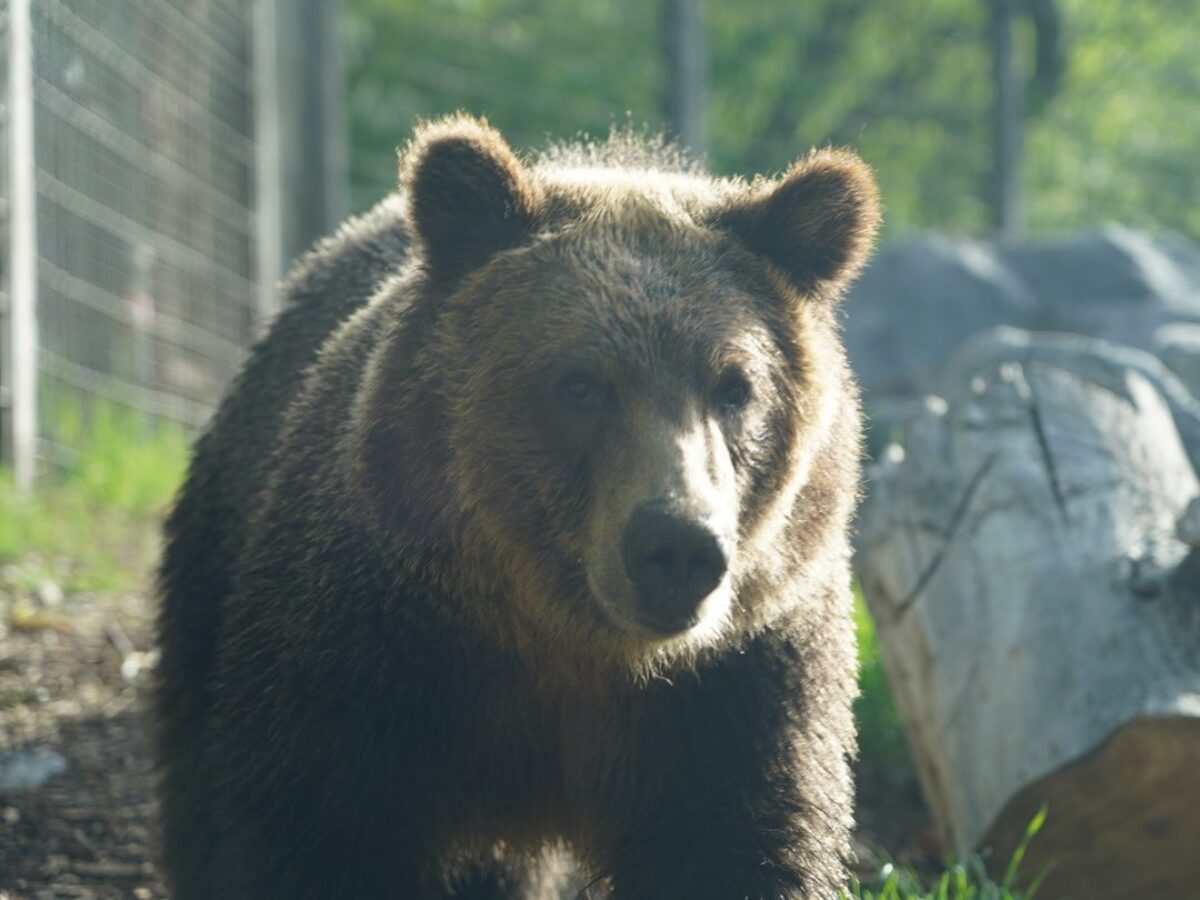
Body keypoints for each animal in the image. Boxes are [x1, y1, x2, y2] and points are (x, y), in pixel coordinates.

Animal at [154, 114, 880, 899]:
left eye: (735, 387)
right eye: (579, 384)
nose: (676, 546)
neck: (566, 645)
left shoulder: (741, 681)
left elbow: (734, 845)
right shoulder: (367, 649)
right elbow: (317, 830)